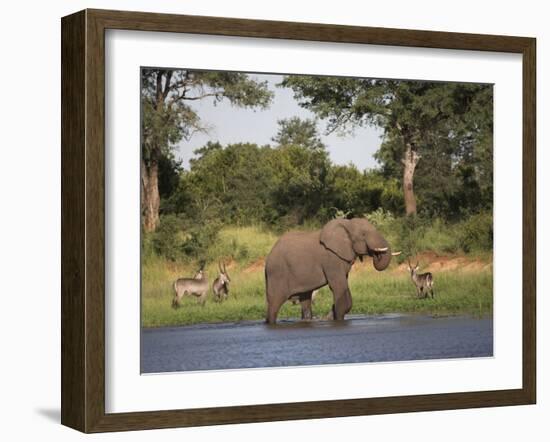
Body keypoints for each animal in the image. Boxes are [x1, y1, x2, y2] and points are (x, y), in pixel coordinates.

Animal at [266, 218, 398, 324]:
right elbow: (338, 287)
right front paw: (336, 319)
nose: (376, 254)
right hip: (277, 273)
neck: (347, 224)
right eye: (364, 234)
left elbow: (345, 290)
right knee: (274, 303)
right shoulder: (331, 259)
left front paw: (330, 317)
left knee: (305, 299)